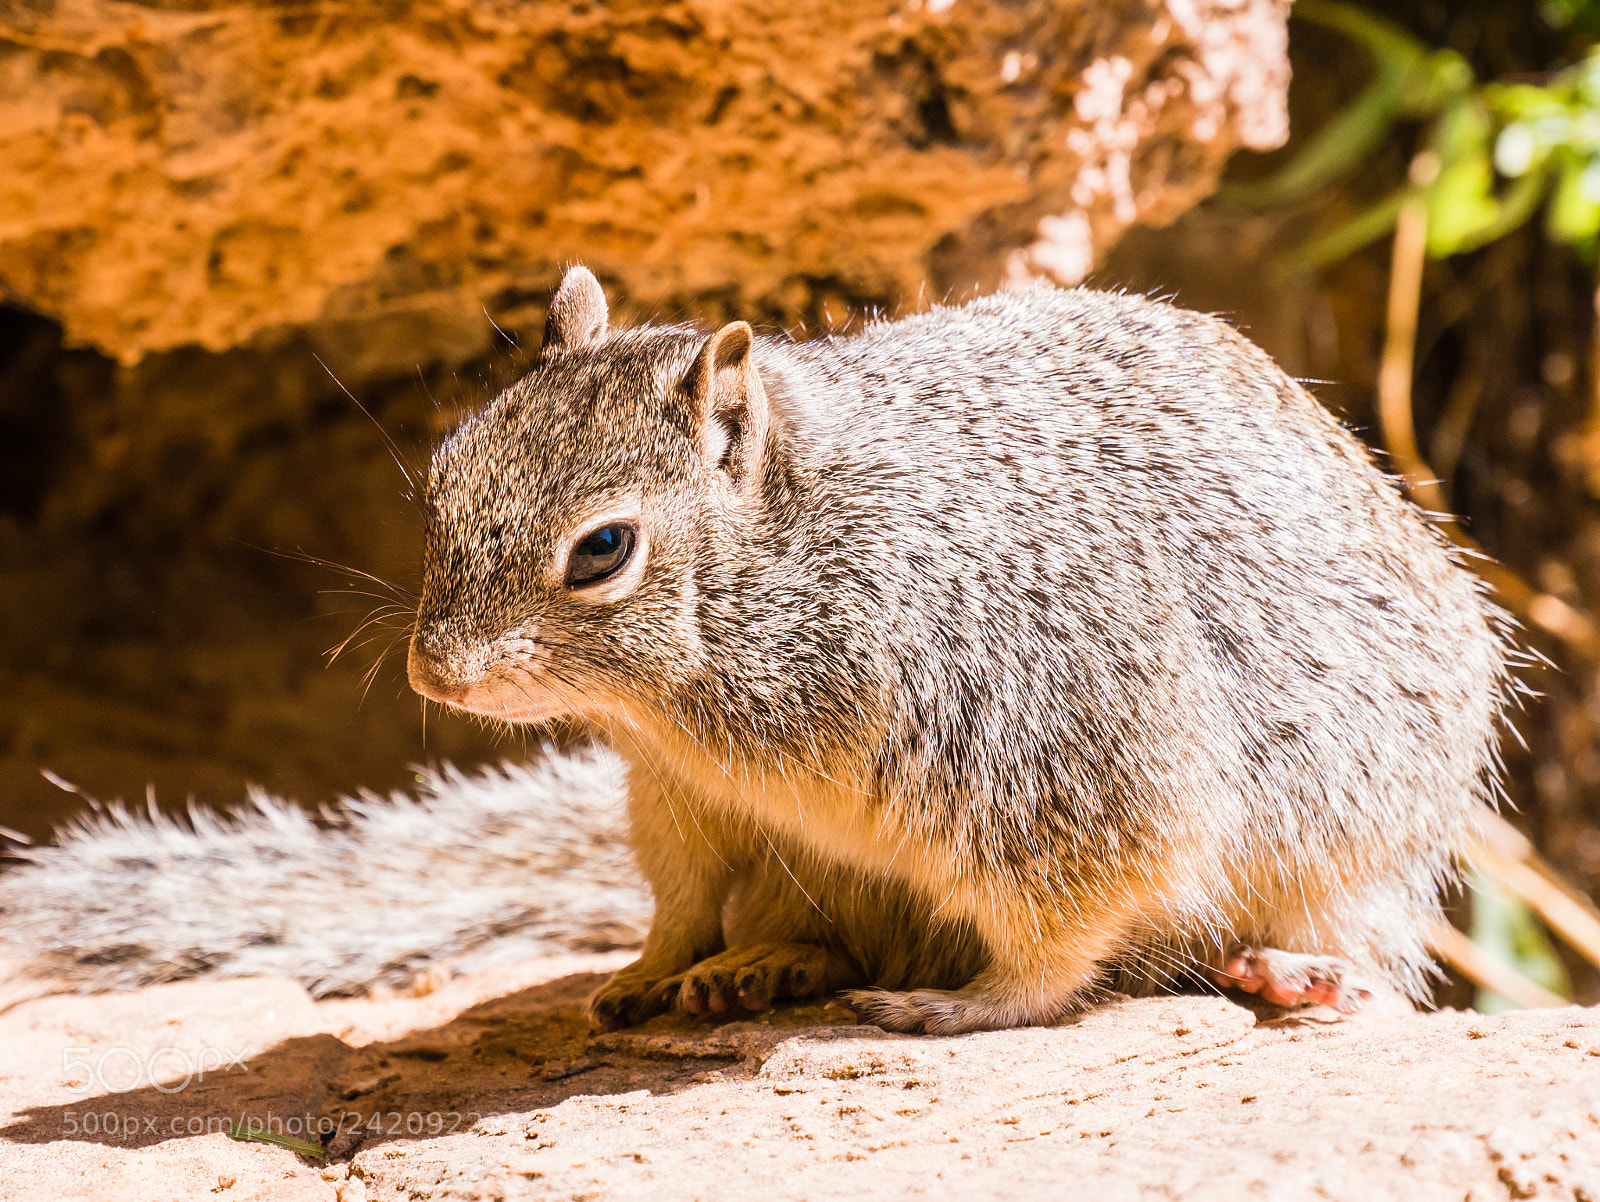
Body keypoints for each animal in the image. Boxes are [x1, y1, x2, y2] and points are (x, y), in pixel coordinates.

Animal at [404, 266, 1514, 1035]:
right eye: (445, 468)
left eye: (602, 549)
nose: (433, 670)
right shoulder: (680, 799)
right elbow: (677, 907)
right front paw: (642, 972)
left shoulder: (1078, 768)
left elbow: (1054, 947)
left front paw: (965, 1008)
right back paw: (761, 965)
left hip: (1351, 863)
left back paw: (1298, 973)